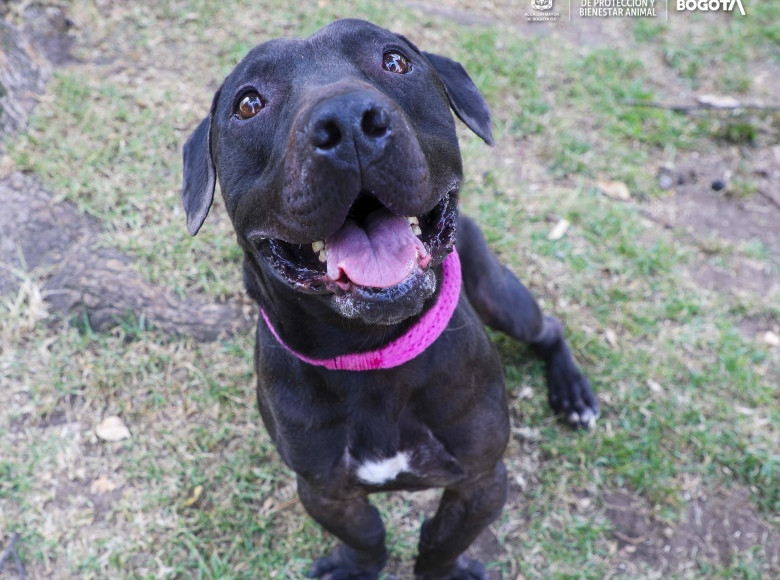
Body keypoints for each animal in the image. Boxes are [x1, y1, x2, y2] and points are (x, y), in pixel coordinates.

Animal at [183, 18, 596, 580]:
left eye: (395, 60)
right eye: (248, 103)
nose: (347, 120)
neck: (372, 351)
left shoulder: (482, 480)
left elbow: (442, 541)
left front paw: (443, 570)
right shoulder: (324, 489)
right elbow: (367, 534)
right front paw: (357, 565)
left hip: (501, 298)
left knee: (548, 327)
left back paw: (573, 395)